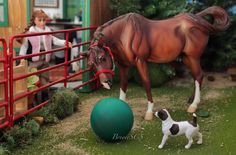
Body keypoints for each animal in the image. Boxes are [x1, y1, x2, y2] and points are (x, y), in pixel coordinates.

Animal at [87, 5, 230, 120]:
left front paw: (149, 112)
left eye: (102, 58)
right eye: (91, 64)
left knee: (199, 75)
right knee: (196, 76)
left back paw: (194, 106)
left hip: (193, 57)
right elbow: (123, 84)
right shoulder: (123, 65)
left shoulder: (141, 61)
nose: (106, 83)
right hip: (186, 58)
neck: (124, 33)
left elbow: (146, 83)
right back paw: (191, 101)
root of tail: (197, 18)